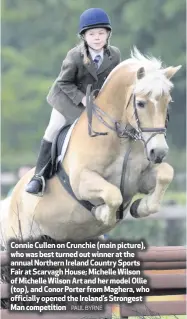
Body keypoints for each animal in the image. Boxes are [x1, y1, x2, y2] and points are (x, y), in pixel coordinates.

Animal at [0, 48, 180, 246]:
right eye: (140, 103)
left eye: (168, 102)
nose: (159, 152)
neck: (123, 141)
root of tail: (11, 199)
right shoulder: (82, 181)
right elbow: (113, 195)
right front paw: (102, 213)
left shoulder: (138, 179)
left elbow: (165, 174)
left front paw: (140, 207)